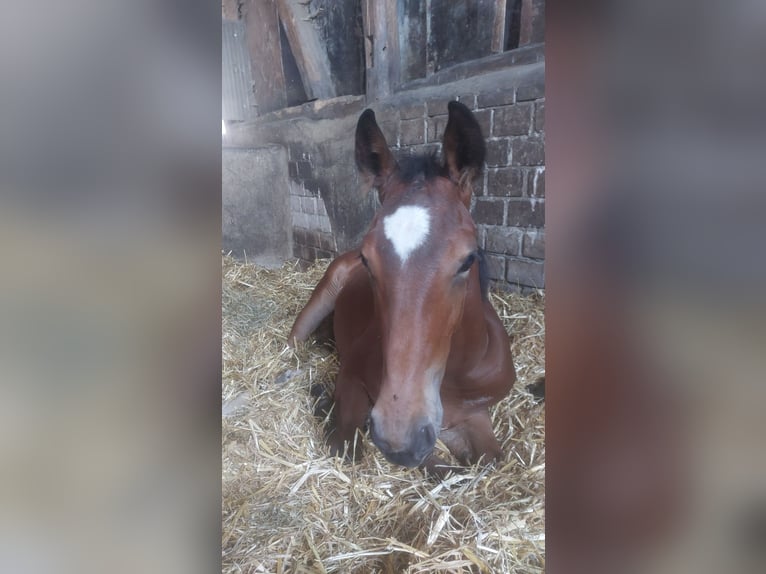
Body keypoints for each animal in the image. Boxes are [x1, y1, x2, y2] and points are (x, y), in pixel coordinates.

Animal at [289, 101, 516, 474]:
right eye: (367, 260)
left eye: (468, 259)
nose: (401, 437)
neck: (455, 377)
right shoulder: (351, 377)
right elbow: (346, 445)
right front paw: (323, 401)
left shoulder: (472, 415)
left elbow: (487, 462)